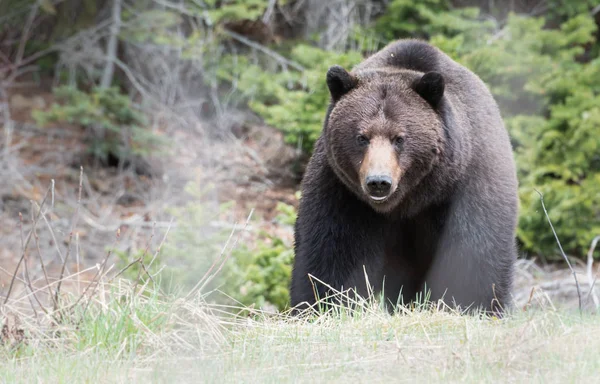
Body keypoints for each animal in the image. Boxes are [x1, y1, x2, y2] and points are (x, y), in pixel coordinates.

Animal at [288, 39, 516, 316]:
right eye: (361, 137)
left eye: (399, 138)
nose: (378, 182)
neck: (408, 201)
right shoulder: (342, 192)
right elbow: (330, 251)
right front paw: (320, 306)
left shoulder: (465, 184)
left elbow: (475, 252)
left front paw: (473, 306)